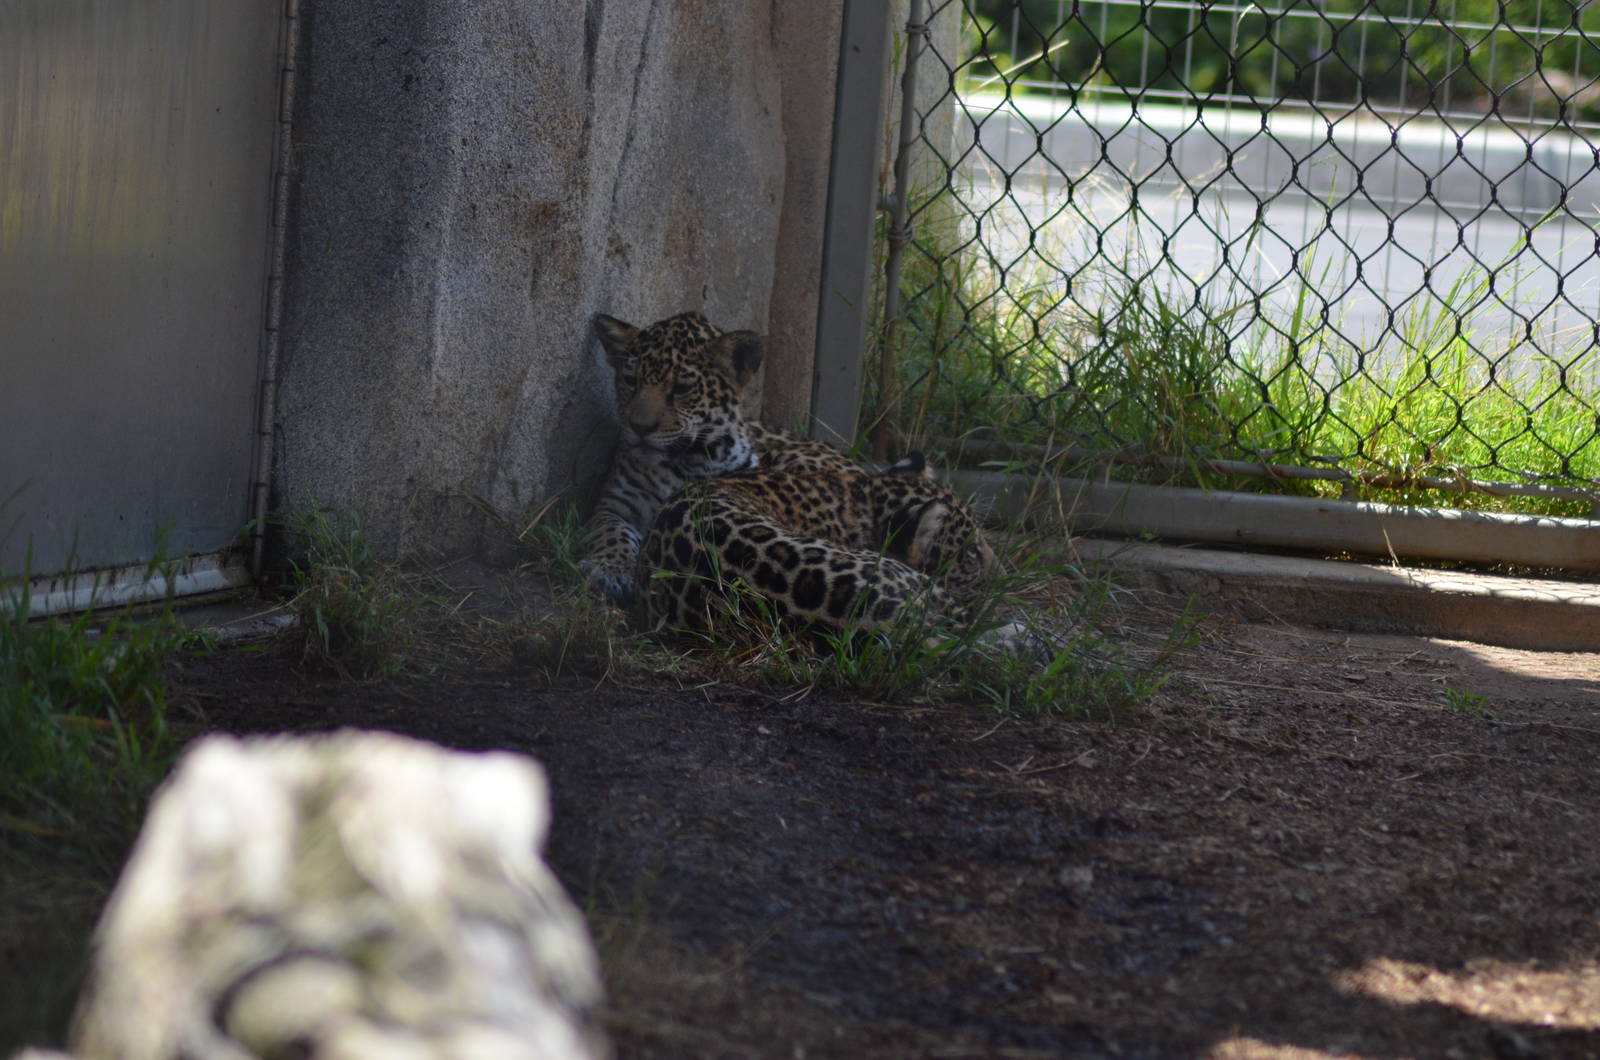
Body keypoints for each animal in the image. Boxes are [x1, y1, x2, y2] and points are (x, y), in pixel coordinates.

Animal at [582, 310, 856, 603]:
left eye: (681, 388)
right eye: (631, 381)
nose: (640, 427)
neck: (682, 463)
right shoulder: (615, 504)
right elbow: (611, 533)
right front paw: (610, 569)